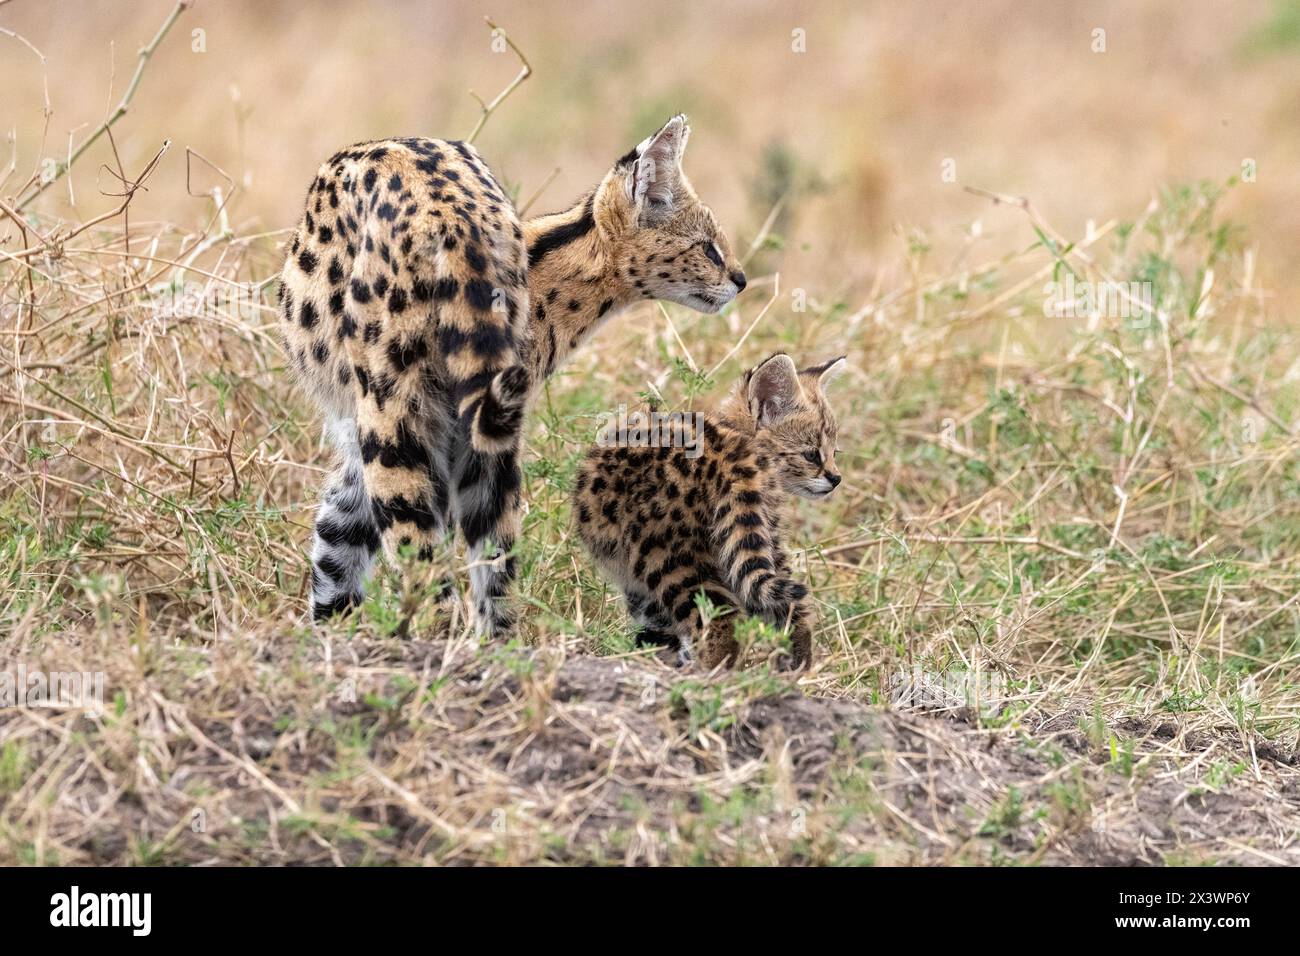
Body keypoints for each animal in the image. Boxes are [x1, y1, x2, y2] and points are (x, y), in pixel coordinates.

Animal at [284, 113, 748, 634]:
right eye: (708, 249)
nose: (741, 280)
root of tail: (453, 224)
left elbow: (337, 541)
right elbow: (338, 541)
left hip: (400, 410)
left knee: (437, 563)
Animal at [577, 353, 842, 671]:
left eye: (834, 453)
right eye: (812, 454)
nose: (836, 478)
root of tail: (731, 455)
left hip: (668, 552)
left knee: (720, 622)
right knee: (789, 604)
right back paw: (797, 668)